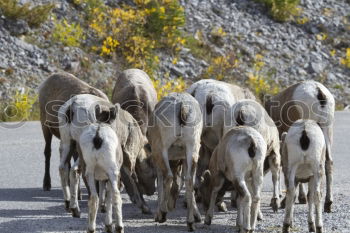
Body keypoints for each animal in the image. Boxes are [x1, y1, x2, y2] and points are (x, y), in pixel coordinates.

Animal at [147, 92, 202, 231]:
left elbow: (160, 184)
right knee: (189, 181)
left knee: (169, 177)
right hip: (192, 148)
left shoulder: (157, 159)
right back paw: (190, 223)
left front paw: (158, 215)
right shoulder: (184, 159)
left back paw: (163, 214)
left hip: (163, 149)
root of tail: (182, 106)